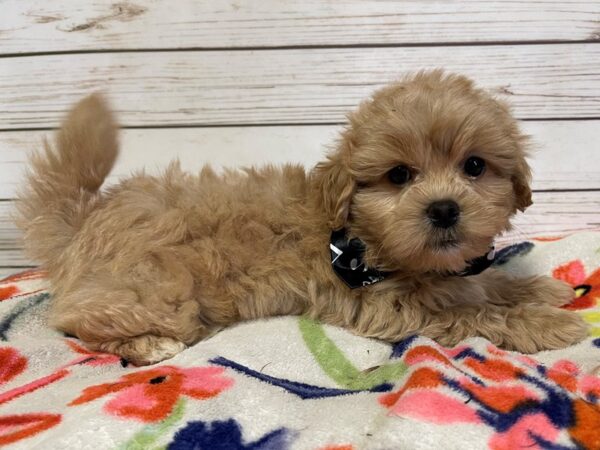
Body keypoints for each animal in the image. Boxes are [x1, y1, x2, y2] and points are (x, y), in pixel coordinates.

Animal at [16, 71, 588, 366]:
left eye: (474, 166)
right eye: (399, 175)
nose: (444, 208)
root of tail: (84, 222)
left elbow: (482, 285)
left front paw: (538, 289)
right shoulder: (383, 305)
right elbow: (473, 313)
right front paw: (546, 322)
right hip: (157, 290)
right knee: (75, 319)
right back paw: (149, 345)